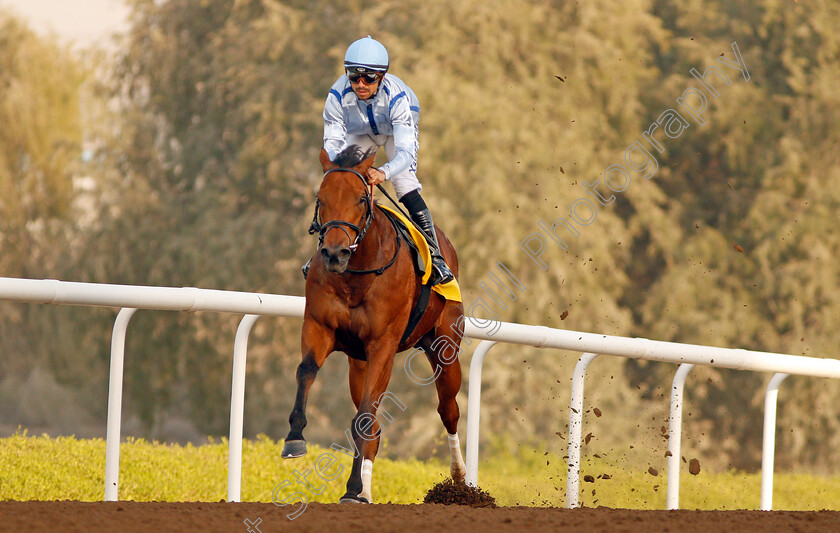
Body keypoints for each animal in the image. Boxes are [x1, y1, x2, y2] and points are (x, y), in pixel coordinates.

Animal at [280, 145, 466, 502]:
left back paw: (460, 479)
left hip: (445, 348)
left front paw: (353, 487)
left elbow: (364, 417)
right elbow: (305, 371)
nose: (334, 253)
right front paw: (295, 438)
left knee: (447, 410)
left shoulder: (383, 345)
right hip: (359, 365)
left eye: (359, 199)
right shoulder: (319, 327)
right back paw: (365, 490)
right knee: (376, 427)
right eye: (321, 197)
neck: (355, 276)